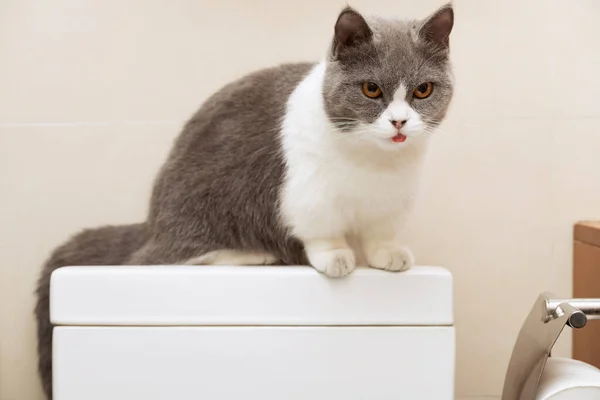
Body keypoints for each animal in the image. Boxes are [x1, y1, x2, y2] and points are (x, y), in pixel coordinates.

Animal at [34, 4, 454, 398]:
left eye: (423, 90)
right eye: (370, 89)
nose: (399, 122)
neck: (375, 164)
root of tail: (151, 224)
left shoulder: (392, 200)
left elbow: (380, 233)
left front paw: (388, 255)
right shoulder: (309, 192)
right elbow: (322, 231)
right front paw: (335, 256)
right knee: (174, 257)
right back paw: (256, 255)